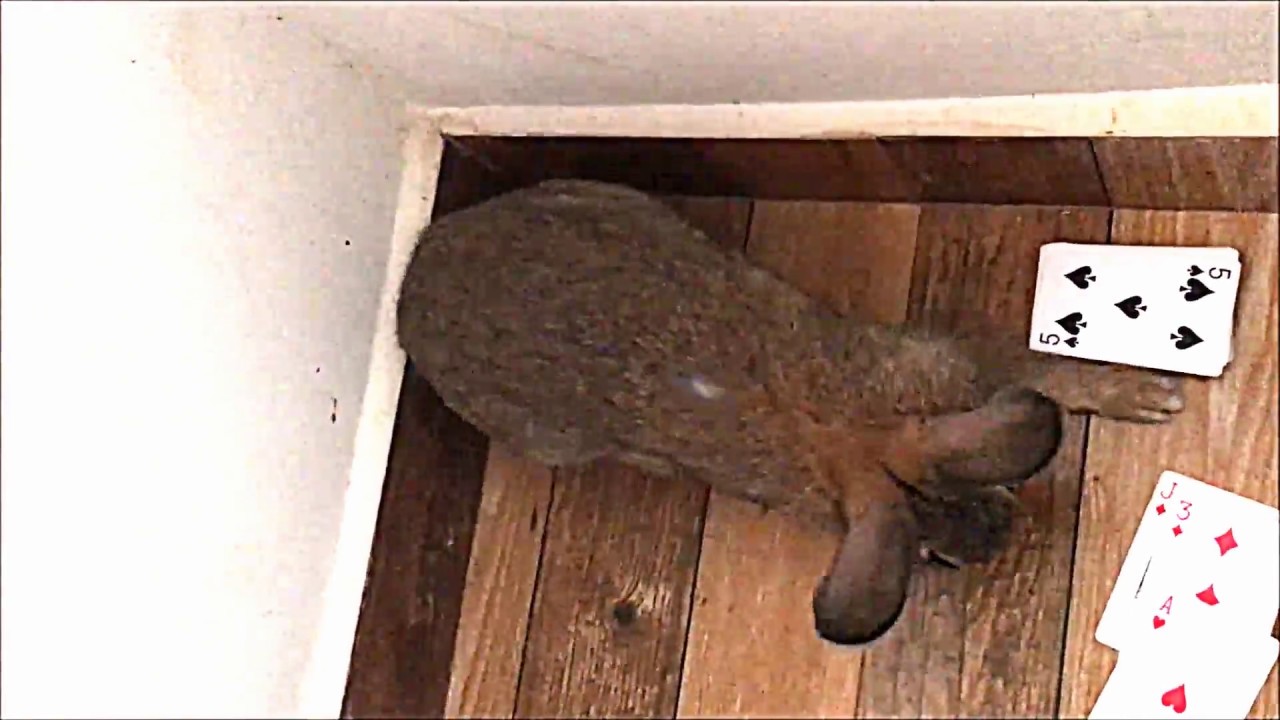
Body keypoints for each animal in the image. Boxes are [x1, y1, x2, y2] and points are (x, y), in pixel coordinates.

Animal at [396, 179, 1186, 646]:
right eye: (933, 557)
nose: (1000, 538)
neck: (843, 432)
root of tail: (412, 284)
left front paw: (1150, 394)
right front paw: (1151, 395)